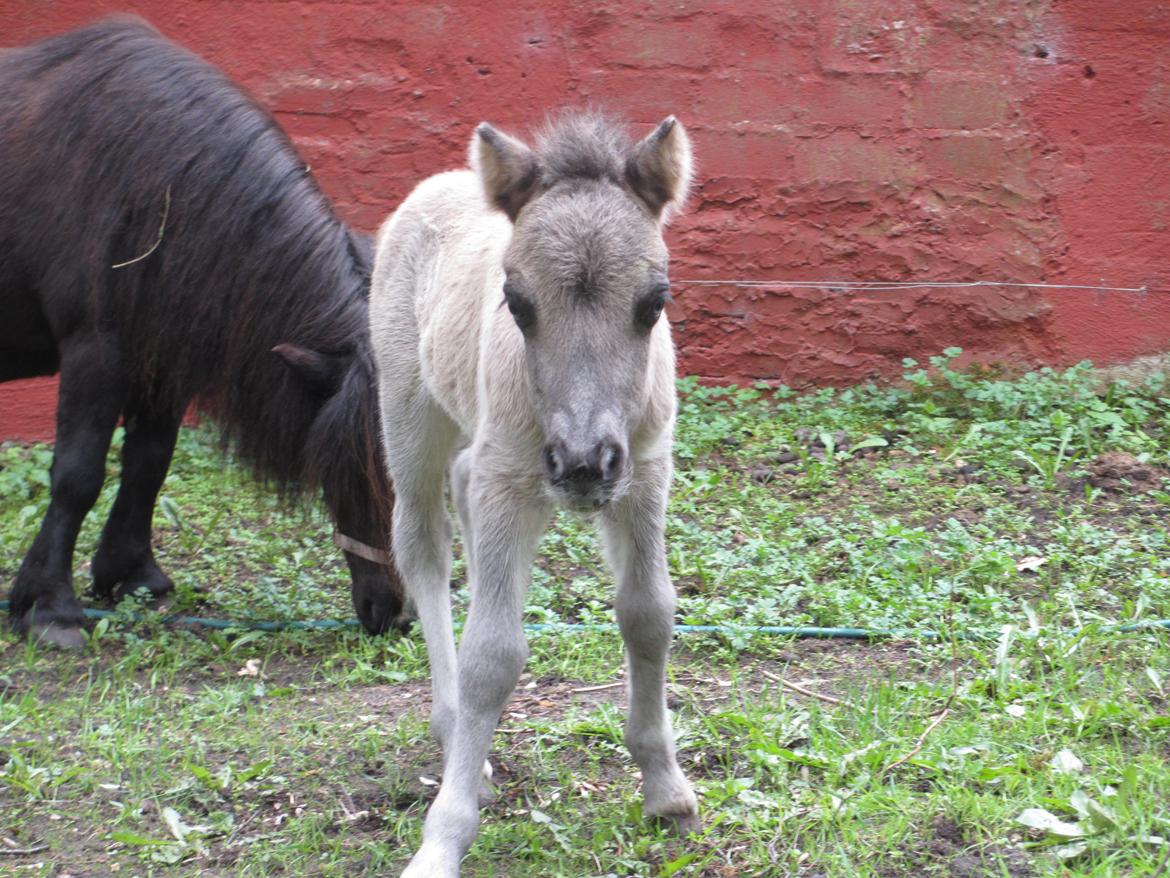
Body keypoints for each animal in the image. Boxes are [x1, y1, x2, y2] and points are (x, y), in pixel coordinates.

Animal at [0, 13, 409, 646]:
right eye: (353, 465)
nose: (396, 614)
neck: (160, 189)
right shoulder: (97, 349)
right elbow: (78, 475)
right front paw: (50, 607)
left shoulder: (158, 360)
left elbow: (149, 462)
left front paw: (133, 575)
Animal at [369, 113, 697, 875]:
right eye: (516, 303)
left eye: (655, 302)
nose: (581, 464)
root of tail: (440, 182)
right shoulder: (508, 484)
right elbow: (491, 654)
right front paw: (443, 838)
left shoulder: (643, 475)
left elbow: (648, 613)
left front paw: (665, 787)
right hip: (411, 415)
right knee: (422, 546)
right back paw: (454, 730)